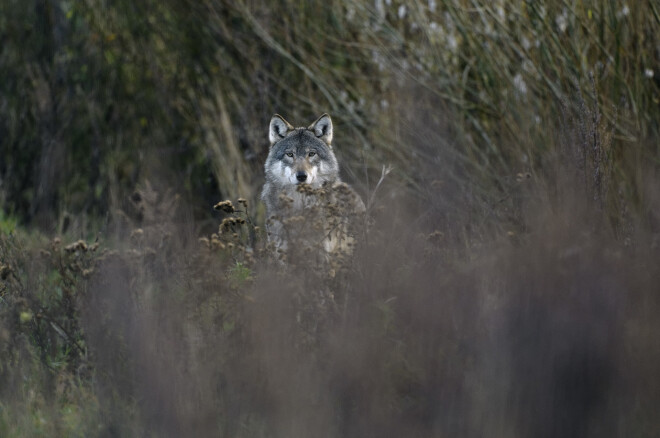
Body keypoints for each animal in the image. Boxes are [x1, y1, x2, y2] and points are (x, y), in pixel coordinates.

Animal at [260, 114, 366, 264]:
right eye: (290, 154)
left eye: (311, 154)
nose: (301, 176)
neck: (299, 205)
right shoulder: (281, 253)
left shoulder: (321, 253)